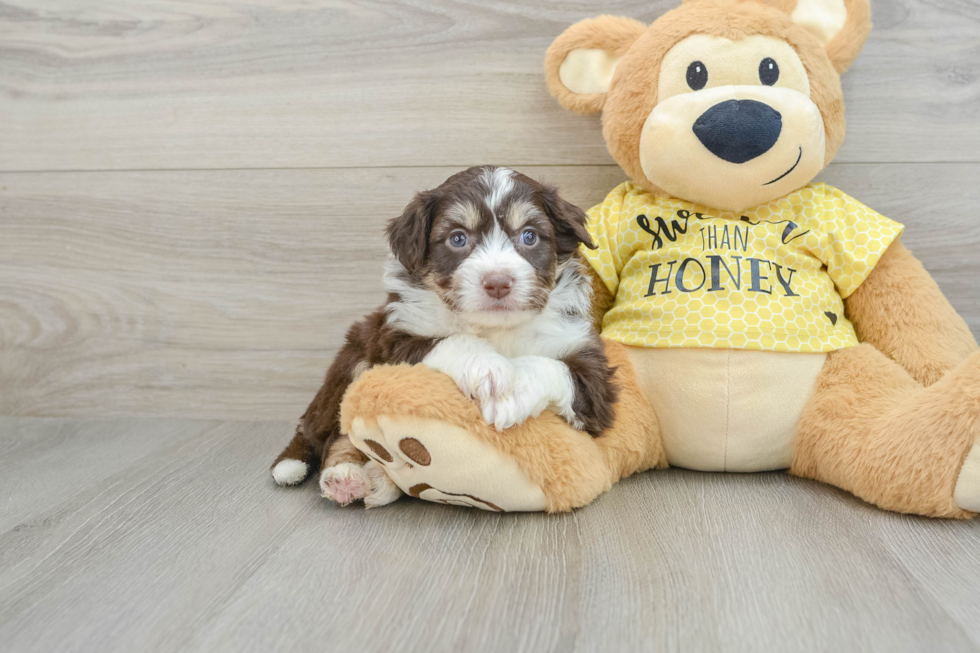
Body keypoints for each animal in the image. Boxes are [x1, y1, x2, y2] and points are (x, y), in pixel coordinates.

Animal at [272, 166, 616, 506]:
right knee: (333, 435)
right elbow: (453, 340)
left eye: (529, 236)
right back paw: (345, 476)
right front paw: (489, 369)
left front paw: (514, 390)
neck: (496, 328)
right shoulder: (394, 338)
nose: (498, 282)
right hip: (353, 359)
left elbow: (554, 368)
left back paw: (377, 479)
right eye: (458, 238)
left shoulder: (591, 372)